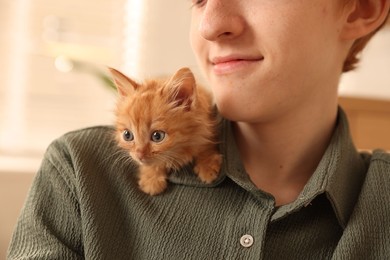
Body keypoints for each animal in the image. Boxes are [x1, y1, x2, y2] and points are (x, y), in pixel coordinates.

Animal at [109, 67, 222, 195]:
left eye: (157, 136)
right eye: (127, 135)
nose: (139, 155)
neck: (181, 149)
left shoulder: (207, 124)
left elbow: (206, 144)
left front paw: (207, 166)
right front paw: (151, 178)